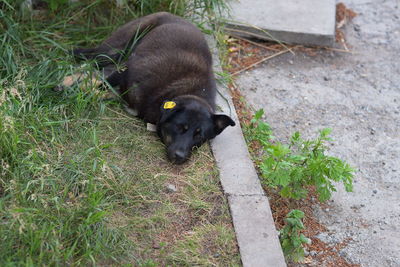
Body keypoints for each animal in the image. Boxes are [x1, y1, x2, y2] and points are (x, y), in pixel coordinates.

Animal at [72, 12, 234, 163]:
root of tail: (173, 15)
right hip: (114, 49)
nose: (180, 157)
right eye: (180, 127)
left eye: (199, 136)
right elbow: (102, 85)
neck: (185, 91)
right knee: (88, 55)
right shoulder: (126, 70)